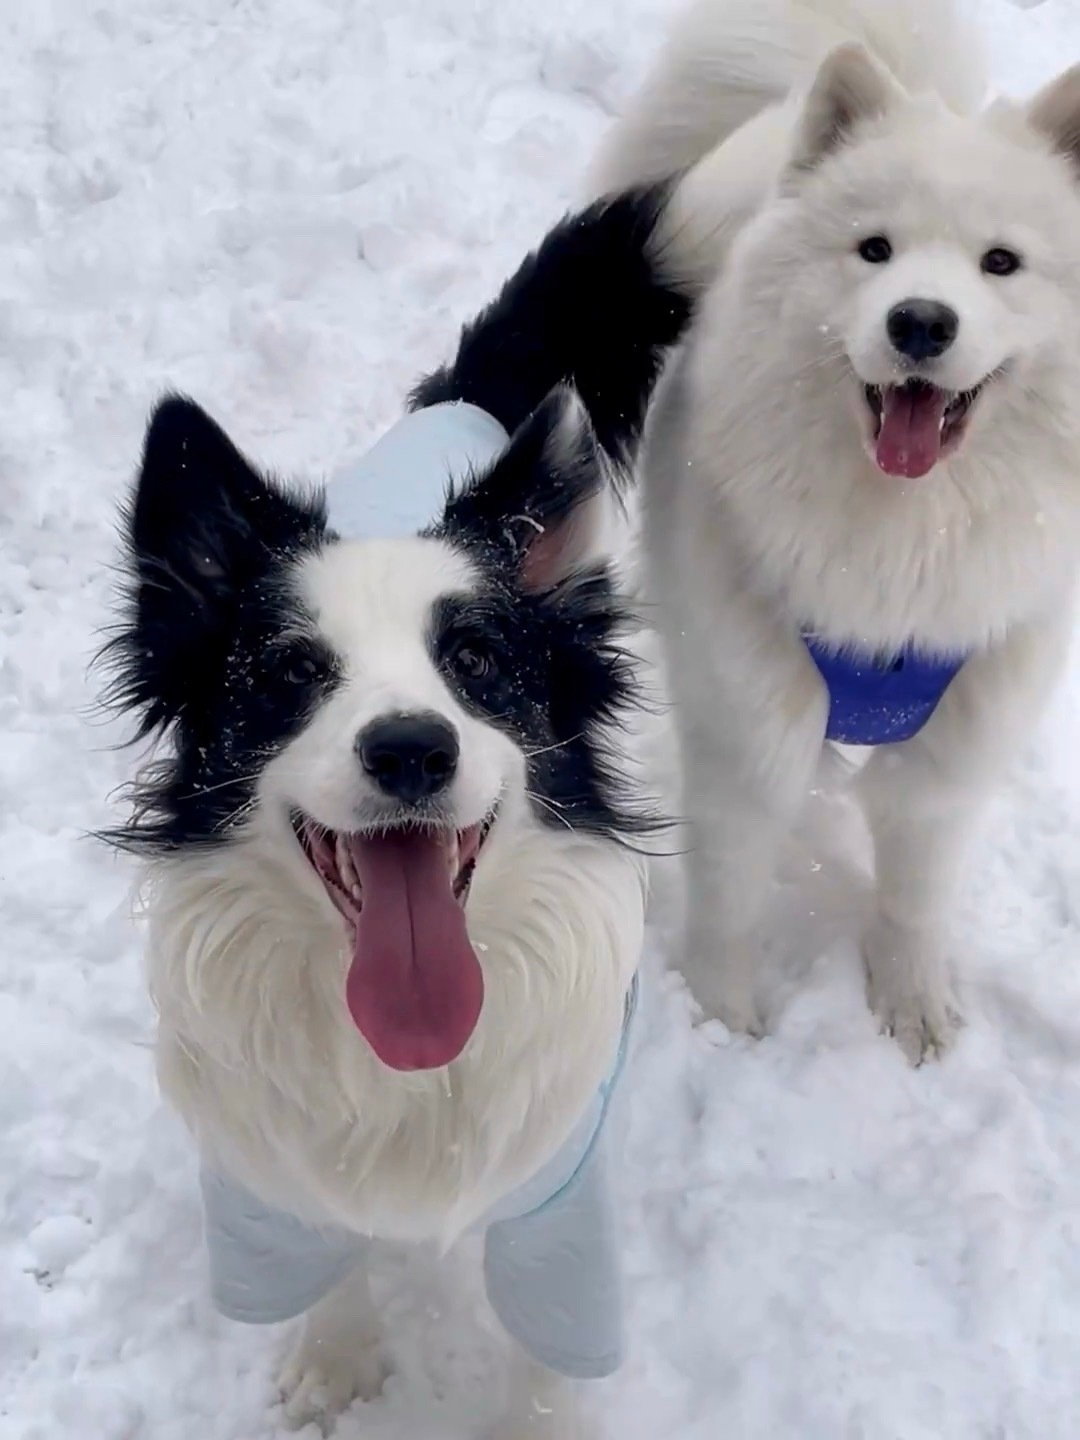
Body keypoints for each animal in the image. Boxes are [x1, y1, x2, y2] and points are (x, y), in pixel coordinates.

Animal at [103, 185, 694, 1434]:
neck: (399, 1060)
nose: (412, 748)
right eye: (290, 673)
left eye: (474, 661)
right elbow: (326, 1263)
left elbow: (547, 1358)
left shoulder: (563, 1207)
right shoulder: (268, 1183)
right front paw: (333, 1368)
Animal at [596, 0, 1080, 1059]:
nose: (921, 322)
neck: (896, 547)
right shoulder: (746, 720)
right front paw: (720, 1014)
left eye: (1000, 262)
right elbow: (730, 891)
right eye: (874, 250)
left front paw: (912, 1005)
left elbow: (916, 894)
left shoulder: (956, 739)